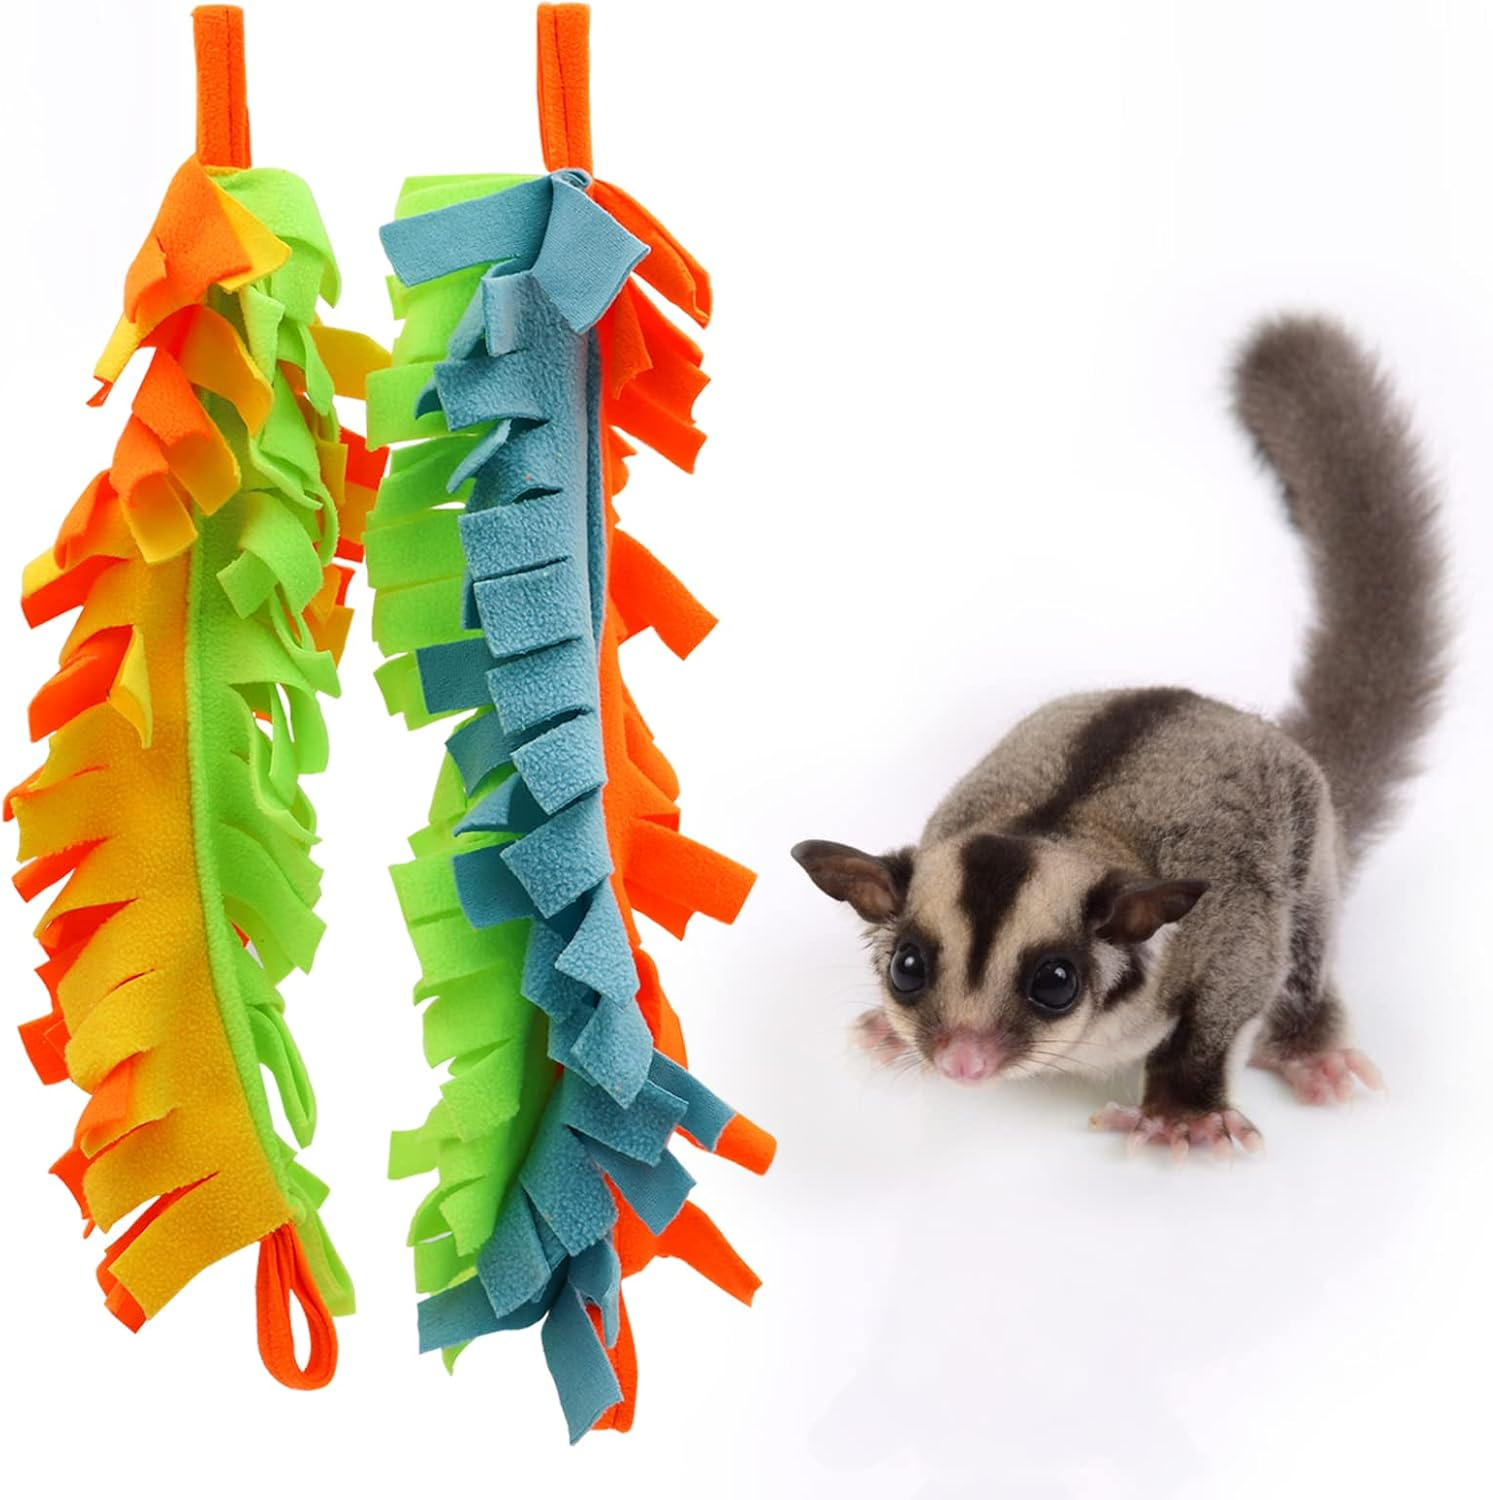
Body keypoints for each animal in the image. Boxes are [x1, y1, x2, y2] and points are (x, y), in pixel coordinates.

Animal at [792, 316, 1447, 1158]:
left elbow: (1231, 993)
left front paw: (1182, 1112)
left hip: (1311, 847)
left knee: (1305, 944)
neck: (1059, 828)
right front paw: (886, 1025)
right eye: (907, 967)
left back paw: (1311, 1049)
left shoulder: (1223, 932)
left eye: (1054, 983)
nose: (962, 1062)